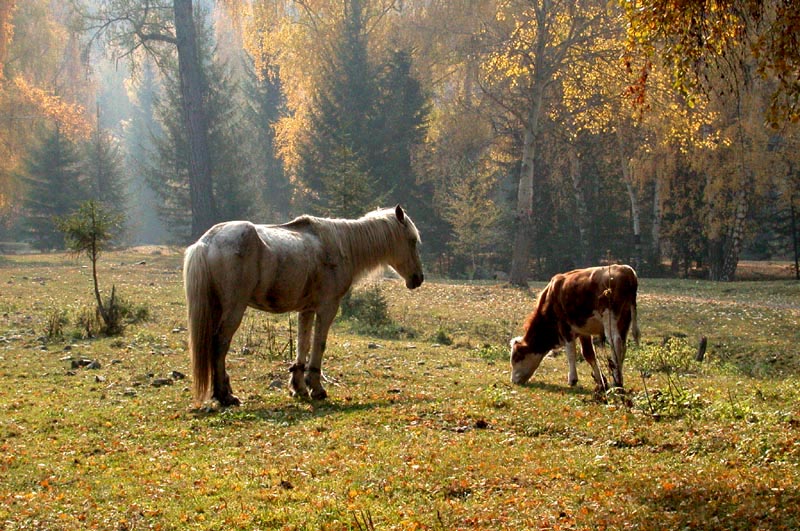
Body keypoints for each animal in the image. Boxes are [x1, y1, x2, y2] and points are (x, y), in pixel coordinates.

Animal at [184, 206, 424, 406]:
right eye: (412, 240)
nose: (418, 278)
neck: (341, 246)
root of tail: (206, 242)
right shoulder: (327, 308)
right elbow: (319, 345)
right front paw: (316, 388)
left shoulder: (306, 309)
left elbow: (303, 344)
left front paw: (298, 387)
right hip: (234, 309)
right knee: (219, 344)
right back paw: (224, 396)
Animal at [510, 264, 640, 390]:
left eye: (516, 357)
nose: (513, 381)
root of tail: (627, 270)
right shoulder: (583, 330)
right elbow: (588, 354)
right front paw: (601, 381)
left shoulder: (565, 326)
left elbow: (571, 352)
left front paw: (572, 379)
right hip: (624, 320)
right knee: (623, 345)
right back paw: (618, 379)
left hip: (610, 318)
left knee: (616, 343)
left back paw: (617, 380)